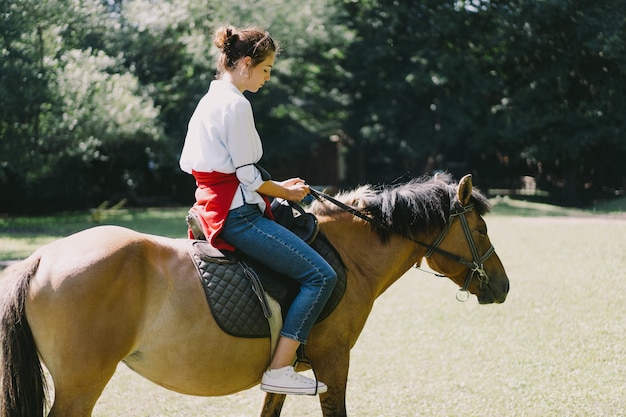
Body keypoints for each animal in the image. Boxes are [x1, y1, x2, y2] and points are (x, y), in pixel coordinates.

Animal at [1, 173, 508, 416]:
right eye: (482, 229)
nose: (503, 286)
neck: (349, 255)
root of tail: (39, 258)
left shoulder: (284, 376)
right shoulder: (334, 362)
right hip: (80, 387)